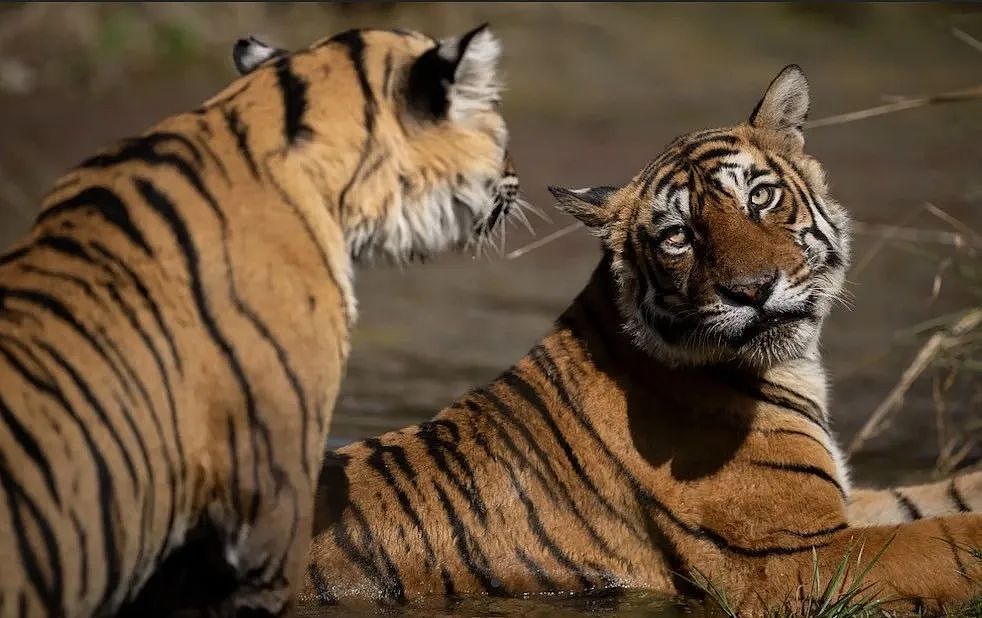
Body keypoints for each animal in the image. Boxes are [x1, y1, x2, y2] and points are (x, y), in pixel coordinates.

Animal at [300, 65, 982, 615]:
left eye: (761, 197)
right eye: (679, 237)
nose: (754, 290)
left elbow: (932, 499)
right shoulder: (791, 557)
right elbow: (944, 540)